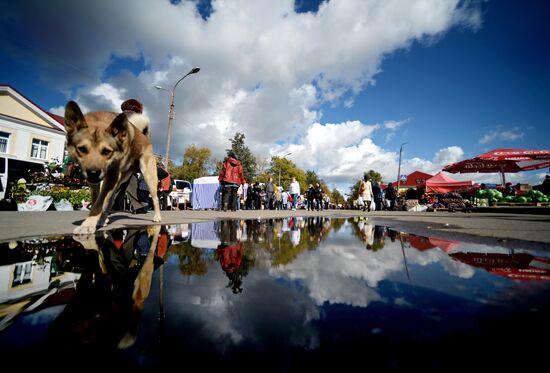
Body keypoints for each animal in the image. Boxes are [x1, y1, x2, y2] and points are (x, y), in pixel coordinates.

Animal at [64, 100, 162, 234]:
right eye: (82, 149)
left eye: (107, 151)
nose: (93, 173)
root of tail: (144, 137)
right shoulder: (98, 182)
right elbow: (97, 201)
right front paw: (94, 219)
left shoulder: (111, 176)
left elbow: (99, 203)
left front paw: (87, 225)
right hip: (119, 181)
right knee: (110, 201)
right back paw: (103, 219)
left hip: (148, 177)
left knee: (156, 199)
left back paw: (157, 217)